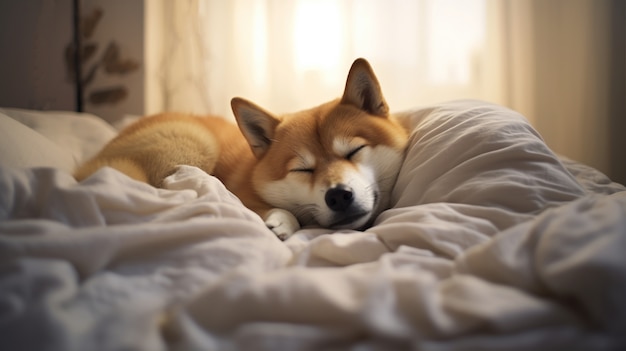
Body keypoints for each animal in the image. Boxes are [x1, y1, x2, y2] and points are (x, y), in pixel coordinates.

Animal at [74, 59, 404, 241]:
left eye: (354, 151)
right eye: (303, 169)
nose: (337, 195)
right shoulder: (243, 195)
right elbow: (275, 209)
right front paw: (281, 220)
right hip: (196, 143)